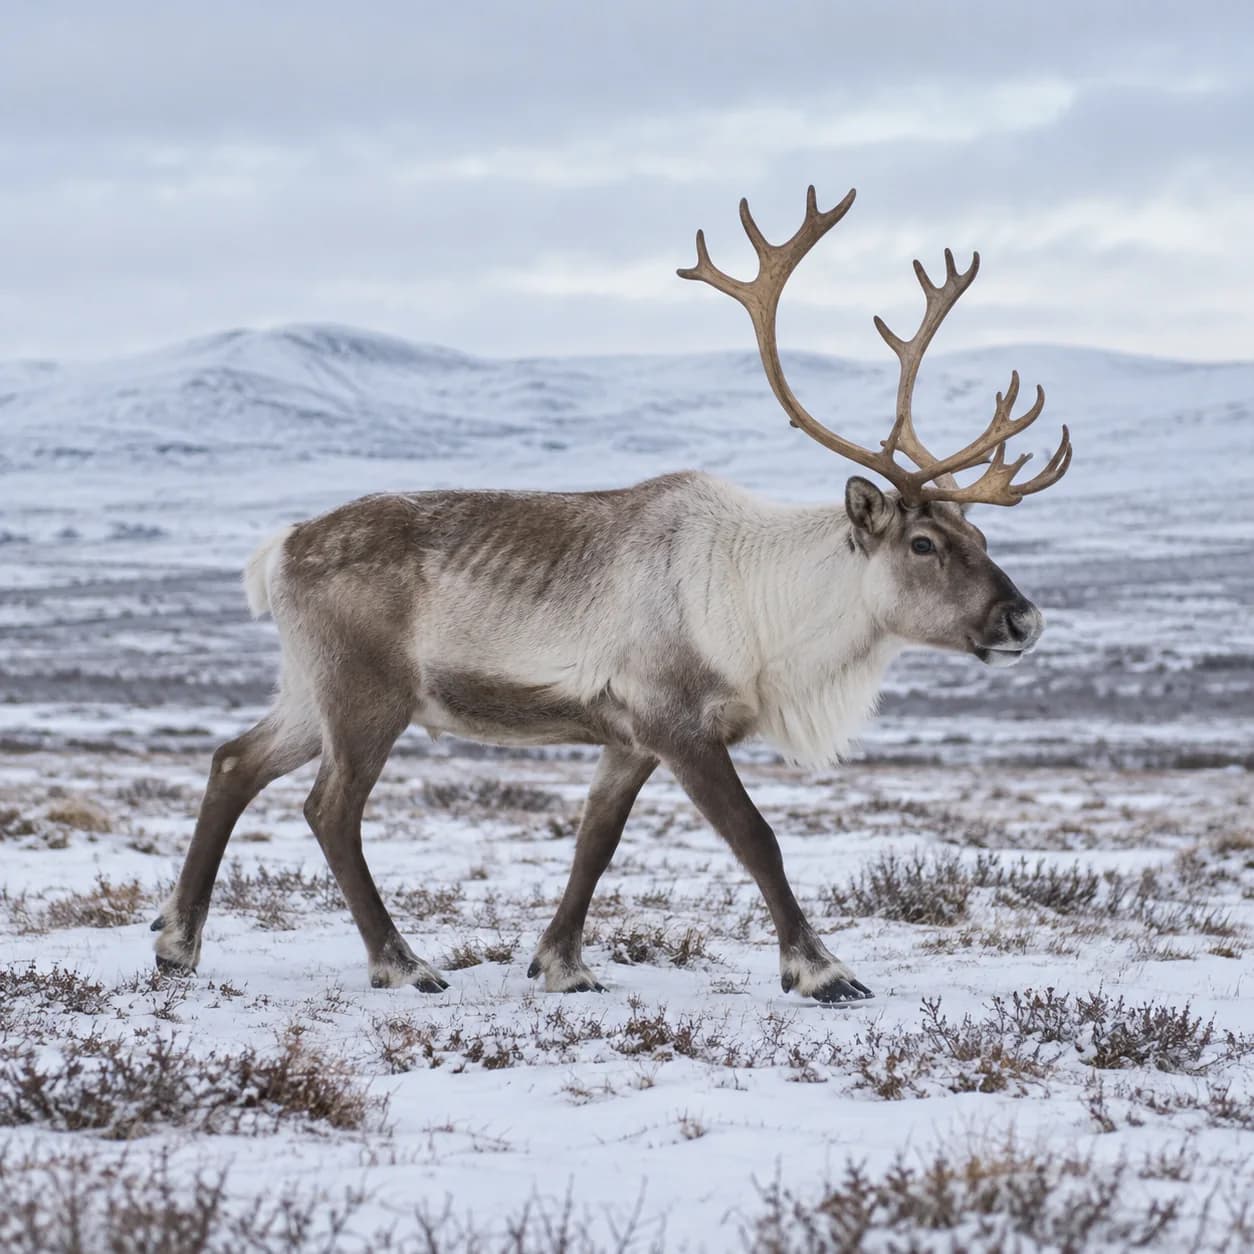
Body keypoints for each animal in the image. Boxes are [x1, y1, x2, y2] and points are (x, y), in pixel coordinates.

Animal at [151, 185, 1071, 1004]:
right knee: (330, 808)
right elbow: (757, 838)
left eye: (981, 537)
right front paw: (823, 971)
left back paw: (177, 943)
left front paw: (561, 964)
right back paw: (402, 963)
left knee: (234, 761)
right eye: (924, 543)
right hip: (366, 694)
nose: (1022, 619)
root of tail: (283, 546)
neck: (771, 612)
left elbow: (595, 842)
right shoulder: (679, 723)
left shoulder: (628, 738)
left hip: (310, 690)